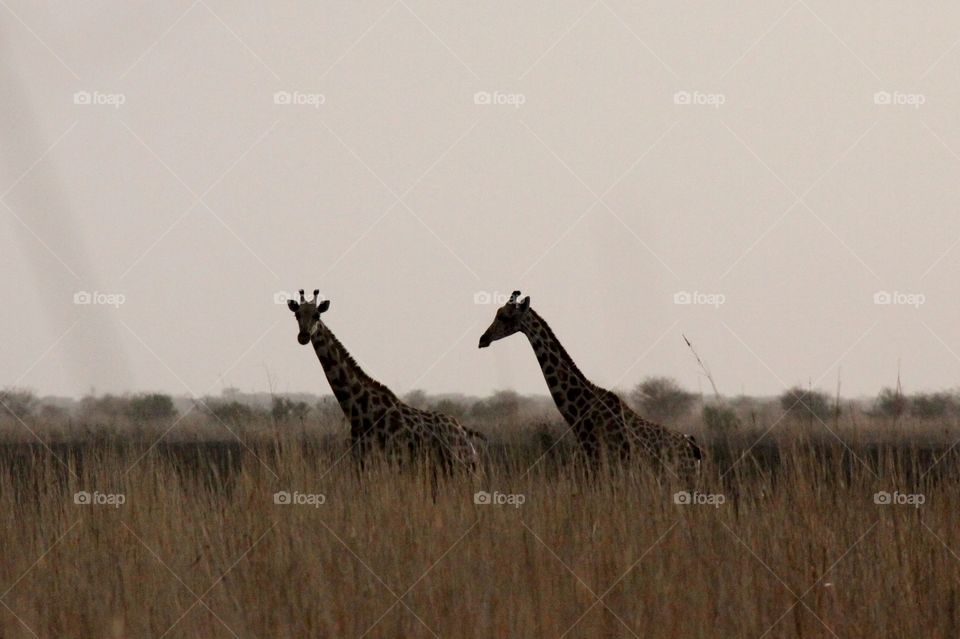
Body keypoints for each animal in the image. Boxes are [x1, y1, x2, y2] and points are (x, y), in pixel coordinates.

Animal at [284, 290, 480, 476]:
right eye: (297, 315)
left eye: (317, 315)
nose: (303, 336)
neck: (358, 411)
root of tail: (465, 436)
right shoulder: (360, 459)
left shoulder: (385, 461)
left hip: (460, 466)